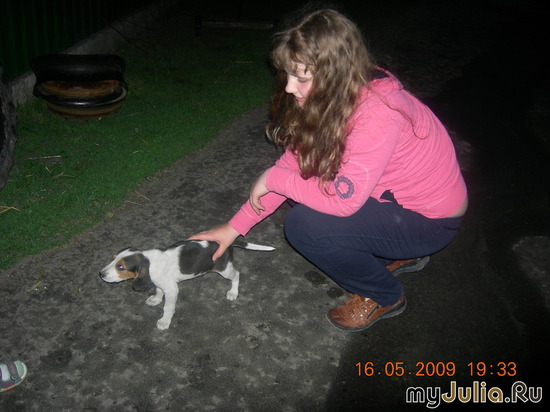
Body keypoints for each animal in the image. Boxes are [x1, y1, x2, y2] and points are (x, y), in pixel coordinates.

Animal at [99, 239, 274, 330]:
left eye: (120, 267)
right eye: (112, 258)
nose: (101, 274)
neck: (149, 261)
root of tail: (227, 242)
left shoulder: (172, 290)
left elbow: (168, 307)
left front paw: (164, 321)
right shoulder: (160, 282)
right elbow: (158, 290)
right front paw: (155, 299)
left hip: (224, 269)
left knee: (236, 274)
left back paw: (233, 292)